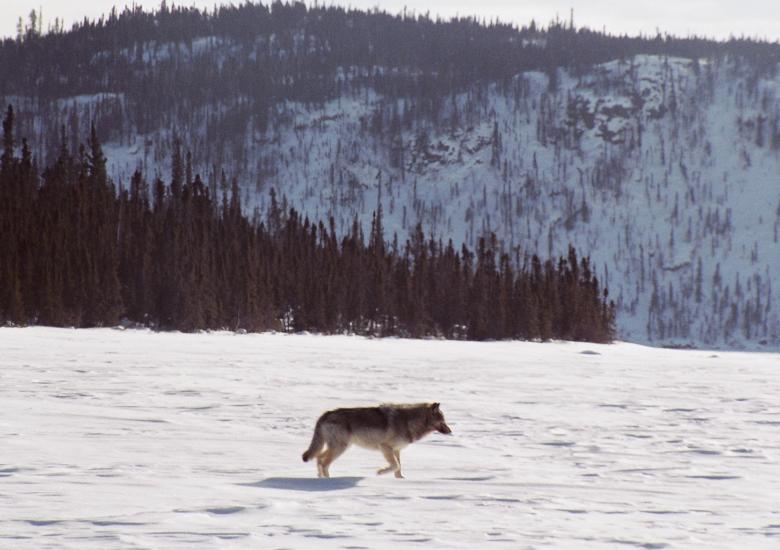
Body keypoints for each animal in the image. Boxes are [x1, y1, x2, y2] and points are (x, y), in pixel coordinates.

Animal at [302, 402, 452, 478]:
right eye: (443, 422)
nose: (451, 431)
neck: (409, 421)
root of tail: (325, 414)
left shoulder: (396, 450)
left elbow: (399, 467)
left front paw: (401, 480)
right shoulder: (385, 447)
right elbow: (395, 465)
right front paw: (379, 472)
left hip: (339, 447)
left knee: (319, 458)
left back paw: (320, 478)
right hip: (340, 448)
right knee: (324, 462)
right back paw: (328, 481)